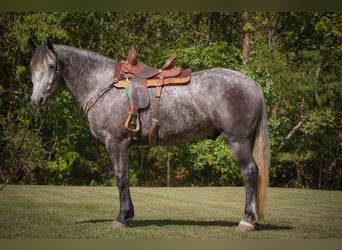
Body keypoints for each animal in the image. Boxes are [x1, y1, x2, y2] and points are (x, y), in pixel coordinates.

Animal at [29, 39, 270, 232]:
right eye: (32, 68)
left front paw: (121, 218)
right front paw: (128, 214)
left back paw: (246, 221)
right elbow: (125, 178)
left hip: (238, 141)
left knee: (250, 172)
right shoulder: (124, 145)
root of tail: (253, 84)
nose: (36, 100)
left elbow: (121, 178)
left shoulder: (116, 142)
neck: (102, 84)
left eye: (52, 66)